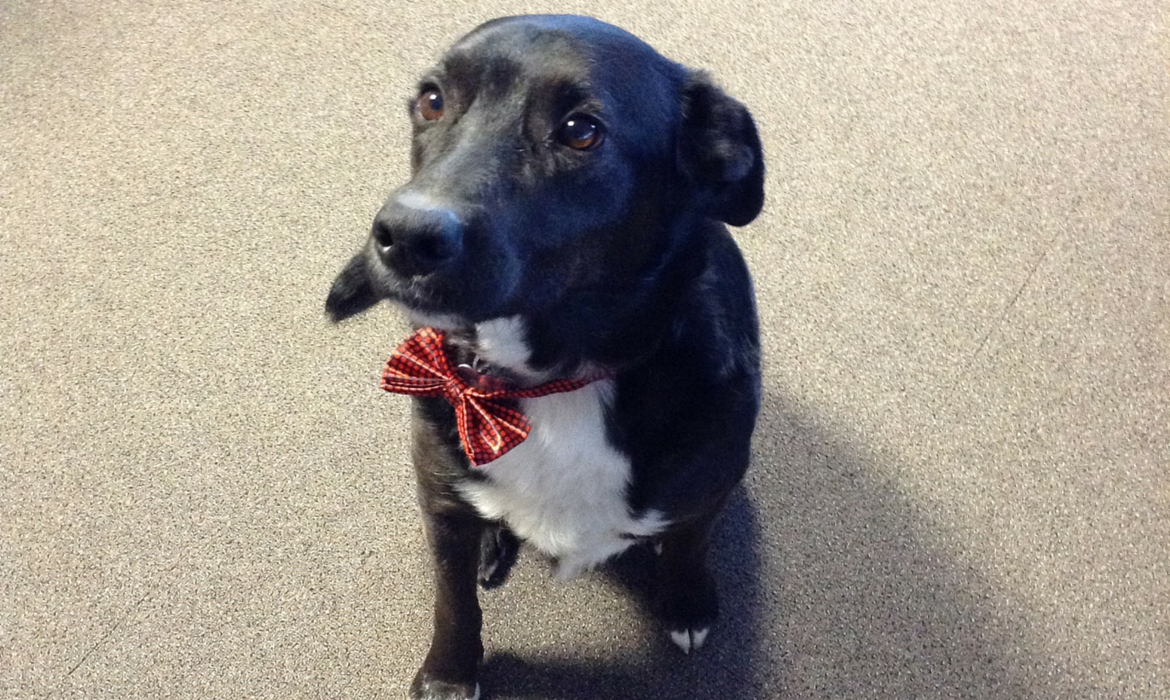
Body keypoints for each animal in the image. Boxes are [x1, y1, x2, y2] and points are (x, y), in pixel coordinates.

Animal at [327, 16, 767, 700]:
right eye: (433, 100)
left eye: (580, 130)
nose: (404, 236)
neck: (557, 383)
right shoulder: (438, 496)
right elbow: (452, 599)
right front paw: (450, 673)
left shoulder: (713, 484)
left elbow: (690, 543)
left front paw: (687, 599)